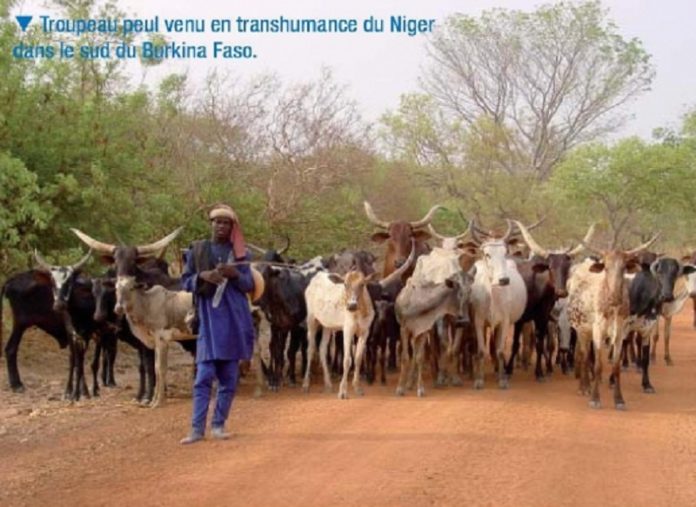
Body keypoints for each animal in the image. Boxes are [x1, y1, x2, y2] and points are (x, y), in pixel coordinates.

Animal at [564, 236, 656, 410]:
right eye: (606, 268)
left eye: (624, 268)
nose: (614, 297)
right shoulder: (598, 330)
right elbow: (598, 364)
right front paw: (595, 398)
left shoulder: (620, 332)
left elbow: (616, 365)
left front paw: (619, 399)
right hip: (582, 329)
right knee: (583, 355)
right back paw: (584, 387)